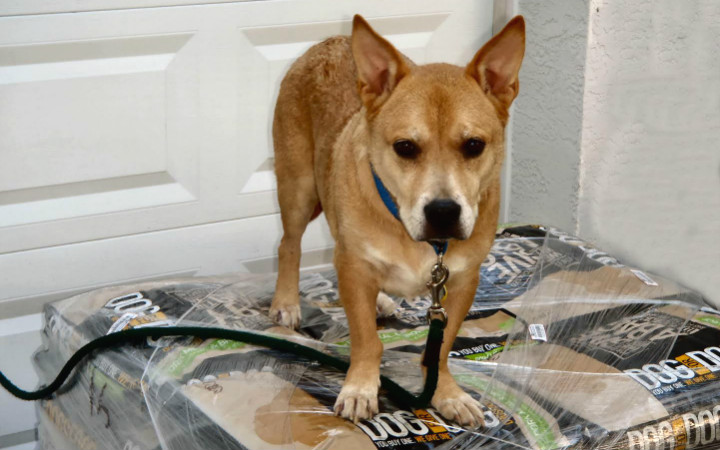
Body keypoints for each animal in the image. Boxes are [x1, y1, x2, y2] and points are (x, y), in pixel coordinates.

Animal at [270, 14, 525, 426]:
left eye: (474, 145)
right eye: (405, 147)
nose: (443, 211)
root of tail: (332, 40)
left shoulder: (463, 281)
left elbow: (441, 347)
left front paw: (446, 392)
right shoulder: (355, 265)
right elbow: (366, 340)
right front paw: (360, 387)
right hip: (299, 188)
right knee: (288, 245)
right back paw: (287, 302)